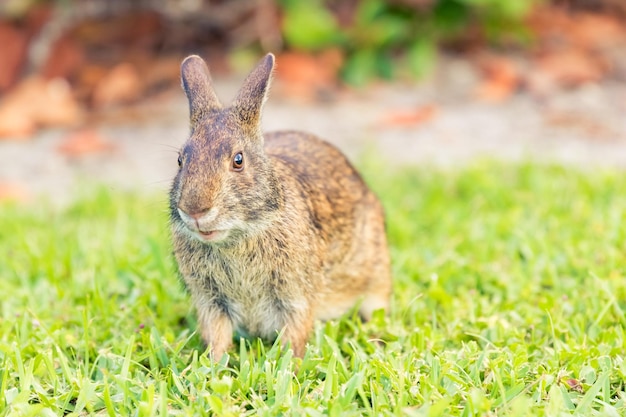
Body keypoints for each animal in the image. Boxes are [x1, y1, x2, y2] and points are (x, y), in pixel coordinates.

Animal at [168, 52, 388, 358]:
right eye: (180, 160)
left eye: (238, 160)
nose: (195, 210)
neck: (240, 236)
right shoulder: (211, 303)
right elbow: (217, 338)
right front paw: (211, 365)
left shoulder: (295, 297)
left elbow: (293, 339)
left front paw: (291, 366)